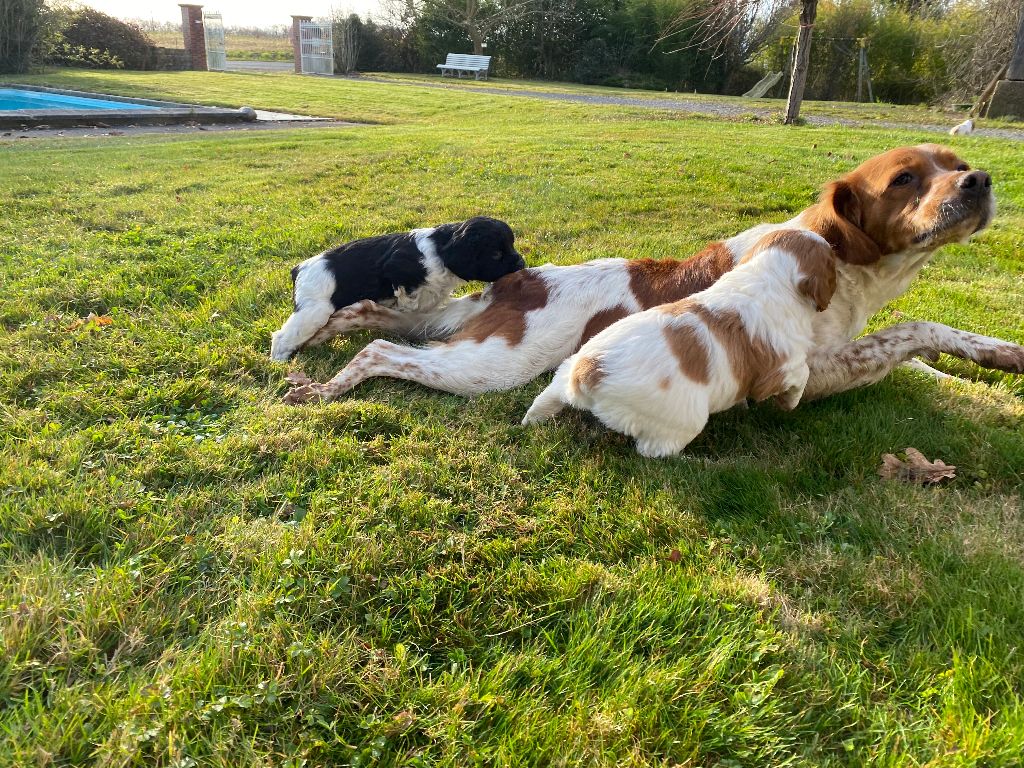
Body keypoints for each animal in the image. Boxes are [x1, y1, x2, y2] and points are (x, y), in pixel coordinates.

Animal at [268, 215, 524, 362]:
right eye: (496, 254)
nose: (521, 264)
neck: (440, 249)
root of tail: (299, 268)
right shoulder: (398, 272)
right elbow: (408, 301)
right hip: (314, 311)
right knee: (283, 335)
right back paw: (279, 360)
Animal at [524, 228, 835, 456]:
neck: (767, 276)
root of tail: (587, 372)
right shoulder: (782, 365)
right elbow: (802, 374)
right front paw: (789, 404)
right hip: (680, 422)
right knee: (652, 451)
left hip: (565, 370)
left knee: (546, 398)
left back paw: (531, 420)